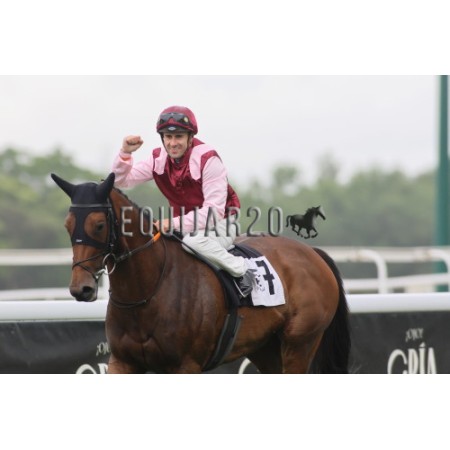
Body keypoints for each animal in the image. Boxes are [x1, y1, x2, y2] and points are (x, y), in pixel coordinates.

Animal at [51, 172, 350, 374]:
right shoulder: (123, 362)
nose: (81, 288)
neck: (147, 292)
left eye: (99, 225)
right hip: (265, 348)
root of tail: (314, 254)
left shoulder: (185, 365)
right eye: (67, 225)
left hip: (300, 342)